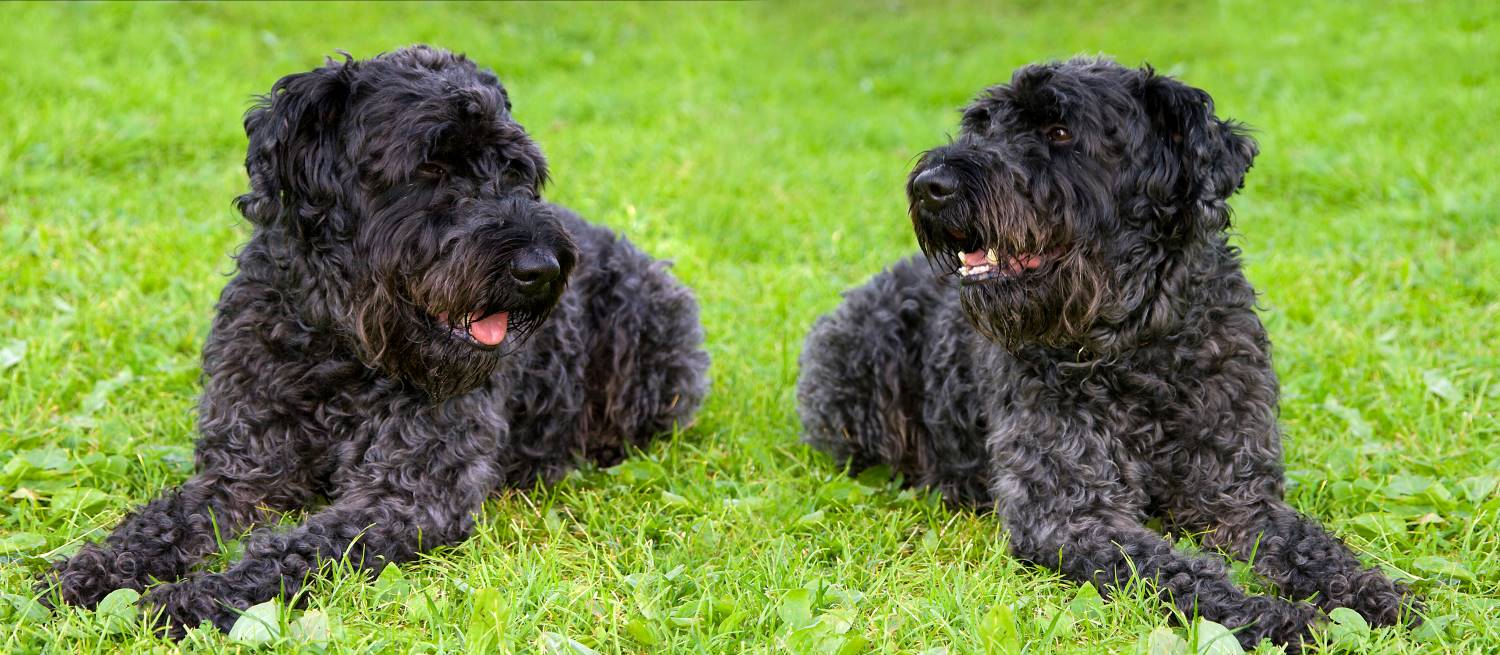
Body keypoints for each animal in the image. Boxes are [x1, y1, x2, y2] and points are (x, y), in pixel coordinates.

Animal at [39, 44, 708, 632]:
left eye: (518, 170)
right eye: (431, 165)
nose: (541, 268)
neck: (340, 349)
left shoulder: (406, 495)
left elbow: (291, 554)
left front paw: (190, 600)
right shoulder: (242, 472)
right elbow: (167, 518)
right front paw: (97, 571)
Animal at [798, 58, 1416, 650]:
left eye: (1060, 130)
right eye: (981, 126)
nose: (933, 184)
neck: (1137, 348)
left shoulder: (1238, 496)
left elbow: (1305, 542)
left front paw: (1367, 591)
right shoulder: (1071, 517)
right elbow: (1180, 574)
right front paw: (1274, 618)